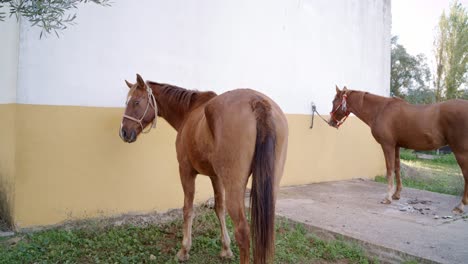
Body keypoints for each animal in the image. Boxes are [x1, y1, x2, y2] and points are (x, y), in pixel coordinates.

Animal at [119, 74, 288, 264]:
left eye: (136, 102)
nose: (124, 132)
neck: (189, 111)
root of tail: (257, 102)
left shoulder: (185, 171)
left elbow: (187, 209)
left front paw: (184, 250)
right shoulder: (216, 177)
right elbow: (219, 208)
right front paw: (226, 249)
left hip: (235, 188)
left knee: (243, 232)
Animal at [330, 85, 468, 213]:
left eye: (333, 101)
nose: (331, 122)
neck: (380, 110)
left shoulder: (387, 145)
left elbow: (389, 169)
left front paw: (388, 198)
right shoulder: (396, 146)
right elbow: (397, 168)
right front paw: (396, 194)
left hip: (460, 152)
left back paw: (460, 206)